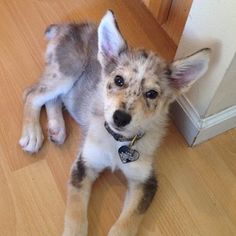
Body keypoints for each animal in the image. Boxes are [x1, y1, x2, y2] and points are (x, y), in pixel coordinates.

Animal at [18, 10, 210, 235]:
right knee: (32, 95)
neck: (118, 141)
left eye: (152, 94)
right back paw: (33, 134)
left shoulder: (145, 181)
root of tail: (71, 26)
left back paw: (57, 128)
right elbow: (76, 216)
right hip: (68, 72)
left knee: (53, 98)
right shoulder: (84, 164)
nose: (120, 117)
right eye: (119, 80)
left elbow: (126, 224)